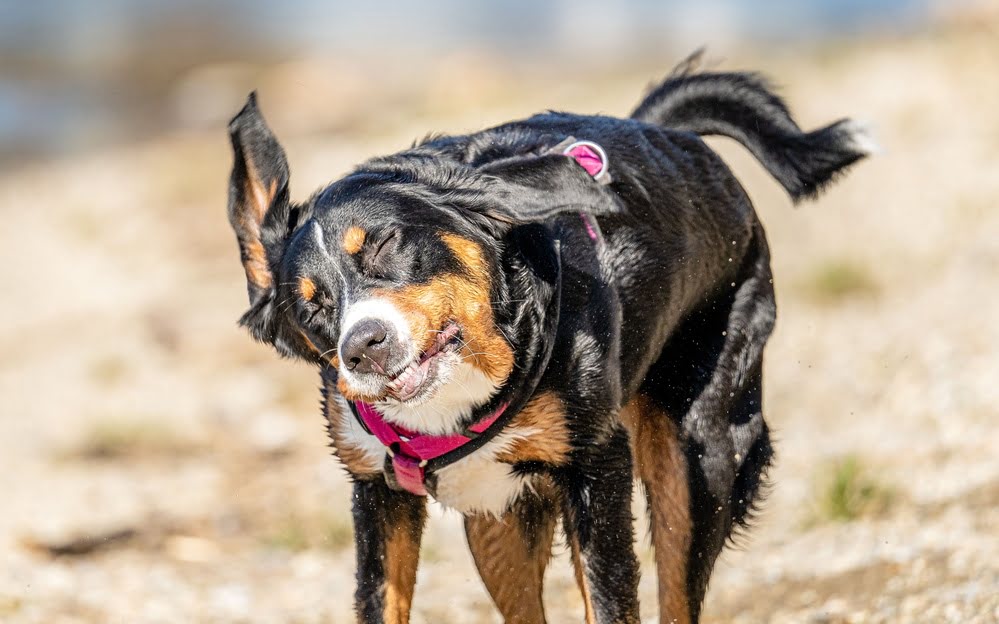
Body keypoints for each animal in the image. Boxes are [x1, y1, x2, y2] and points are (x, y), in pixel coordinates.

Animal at [225, 54, 868, 624]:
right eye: (313, 306)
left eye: (385, 244)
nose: (363, 346)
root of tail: (667, 131)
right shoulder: (379, 494)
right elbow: (382, 602)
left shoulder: (597, 468)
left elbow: (611, 604)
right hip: (498, 521)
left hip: (702, 455)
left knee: (679, 590)